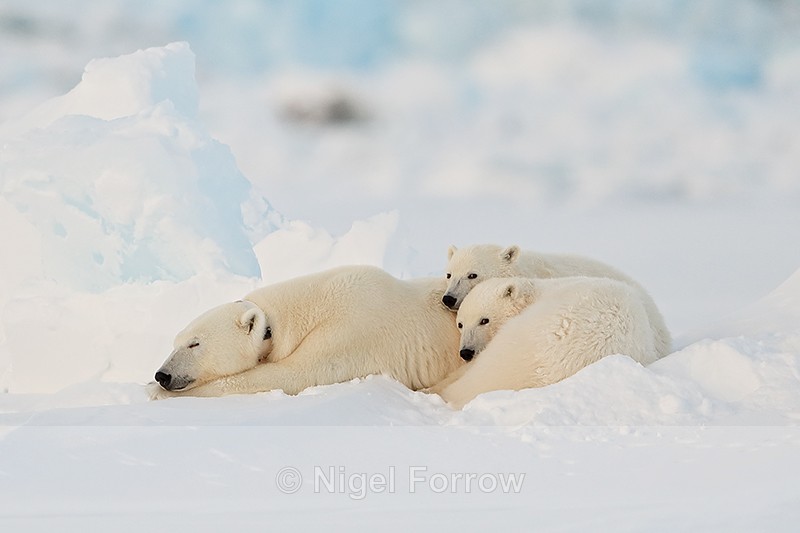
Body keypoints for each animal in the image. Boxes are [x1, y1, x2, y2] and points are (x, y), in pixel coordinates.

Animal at [149, 265, 463, 399]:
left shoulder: (352, 330)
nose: (162, 375)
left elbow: (292, 374)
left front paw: (155, 393)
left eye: (194, 344)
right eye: (175, 342)